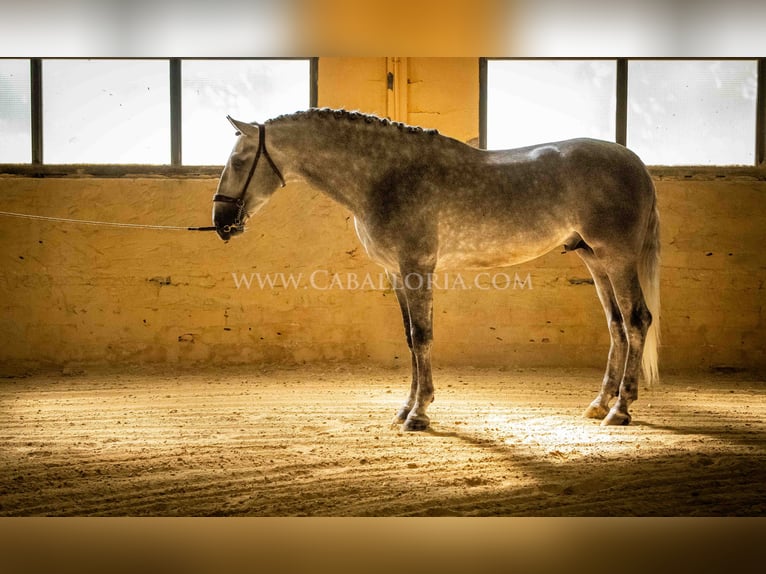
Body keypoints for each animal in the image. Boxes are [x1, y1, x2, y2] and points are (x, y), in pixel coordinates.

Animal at [213, 108, 664, 432]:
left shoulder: (417, 268)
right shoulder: (397, 273)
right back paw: (600, 403)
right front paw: (405, 408)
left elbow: (422, 337)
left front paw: (419, 414)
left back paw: (621, 410)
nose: (221, 221)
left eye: (238, 161)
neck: (385, 177)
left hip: (617, 258)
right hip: (596, 260)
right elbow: (411, 339)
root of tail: (636, 163)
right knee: (617, 326)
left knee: (637, 320)